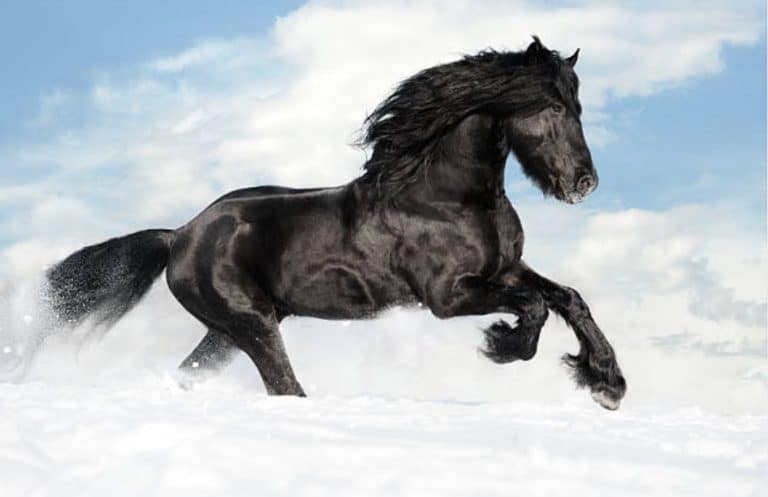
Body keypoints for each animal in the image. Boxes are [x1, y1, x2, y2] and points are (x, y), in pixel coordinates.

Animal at [44, 37, 626, 409]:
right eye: (553, 106)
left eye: (578, 106)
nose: (584, 182)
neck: (447, 196)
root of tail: (179, 235)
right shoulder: (448, 296)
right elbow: (533, 307)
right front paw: (504, 346)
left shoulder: (505, 270)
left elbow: (568, 298)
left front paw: (608, 385)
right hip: (250, 323)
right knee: (283, 386)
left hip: (228, 332)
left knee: (196, 374)